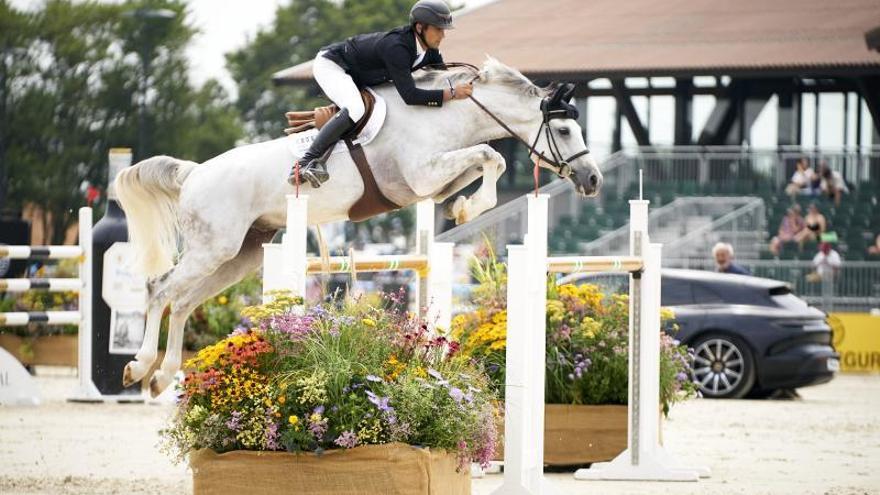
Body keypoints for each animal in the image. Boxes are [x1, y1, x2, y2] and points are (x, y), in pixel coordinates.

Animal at [115, 58, 600, 398]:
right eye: (563, 130)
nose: (592, 180)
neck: (443, 114)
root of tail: (194, 174)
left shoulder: (433, 182)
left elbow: (484, 163)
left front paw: (463, 207)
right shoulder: (422, 175)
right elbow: (491, 155)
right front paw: (469, 208)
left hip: (240, 255)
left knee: (182, 303)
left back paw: (162, 377)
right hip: (212, 248)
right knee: (160, 289)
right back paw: (138, 367)